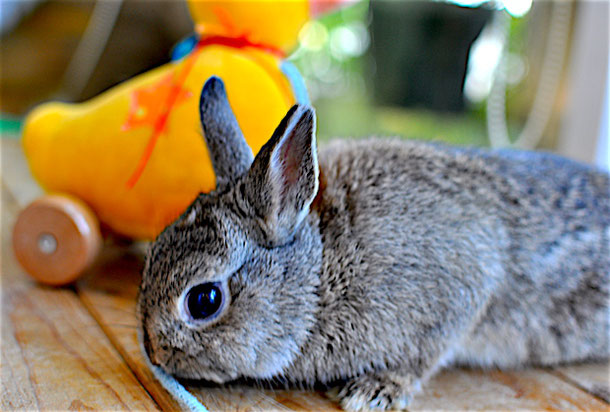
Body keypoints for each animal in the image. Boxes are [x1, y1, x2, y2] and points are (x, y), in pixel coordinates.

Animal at [139, 75, 608, 410]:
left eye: (204, 300)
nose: (154, 353)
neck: (321, 271)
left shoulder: (464, 284)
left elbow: (426, 354)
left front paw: (373, 391)